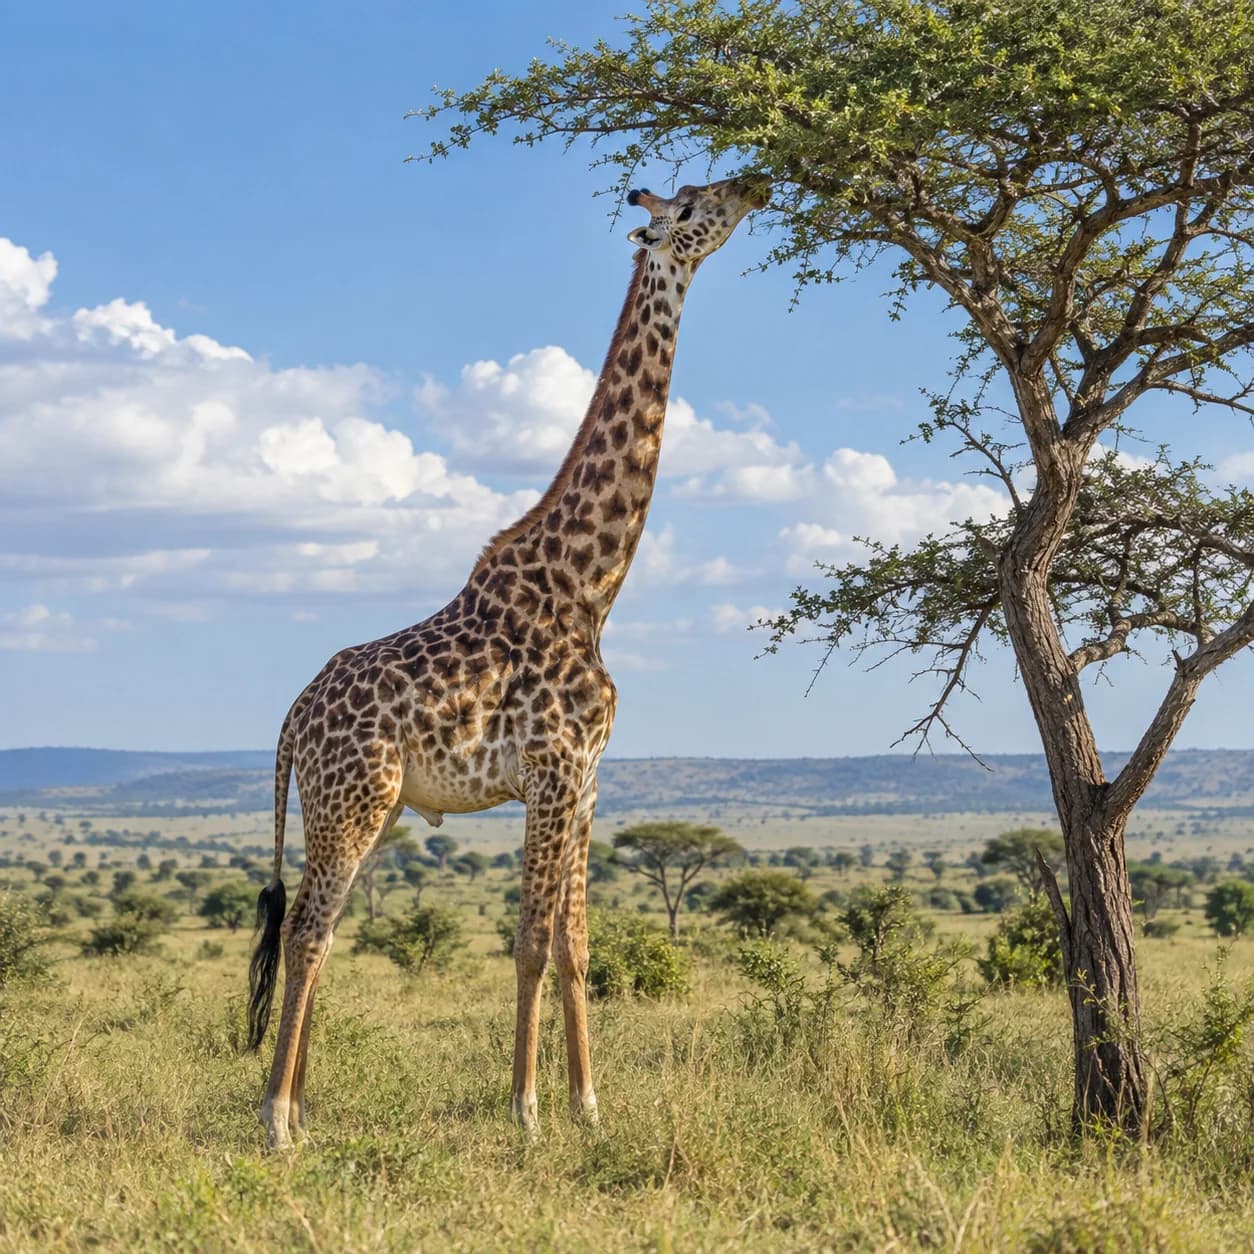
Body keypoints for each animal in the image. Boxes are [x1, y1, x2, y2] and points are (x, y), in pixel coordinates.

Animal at [246, 176, 767, 1150]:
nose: (754, 185)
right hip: (350, 802)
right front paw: (525, 1112)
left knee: (317, 933)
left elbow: (574, 944)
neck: (590, 586)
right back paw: (277, 1122)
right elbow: (527, 944)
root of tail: (293, 719)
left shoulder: (588, 780)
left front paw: (588, 1106)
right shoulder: (552, 771)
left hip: (364, 808)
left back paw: (302, 1108)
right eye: (690, 209)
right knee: (306, 931)